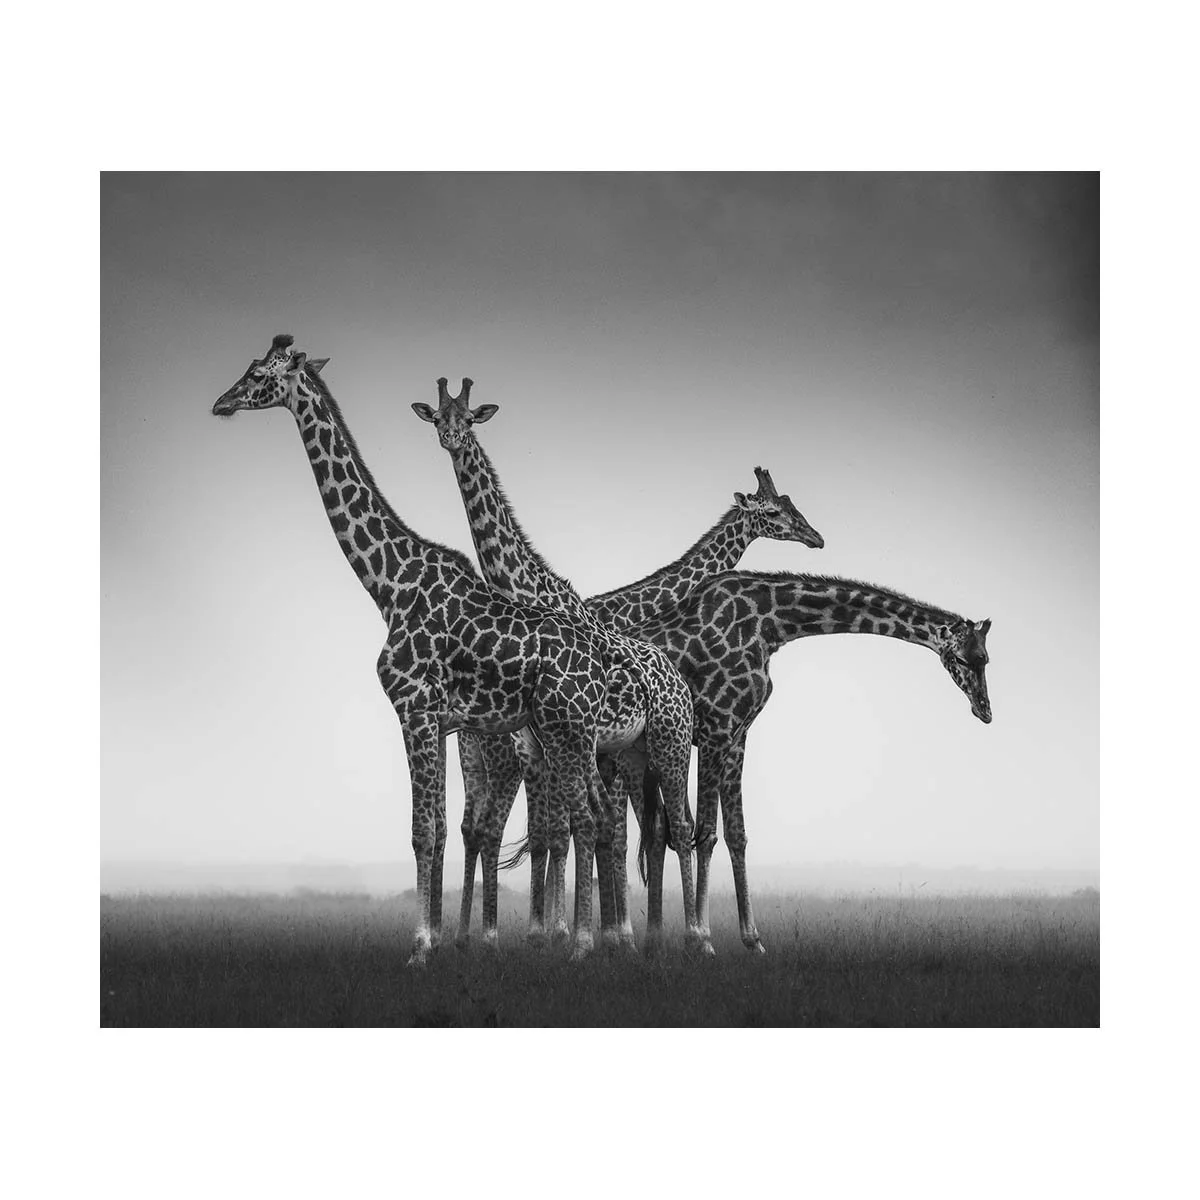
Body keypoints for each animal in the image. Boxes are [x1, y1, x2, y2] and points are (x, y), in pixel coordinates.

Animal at [211, 336, 614, 963]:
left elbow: (424, 831)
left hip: (565, 731)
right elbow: (444, 829)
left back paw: (581, 944)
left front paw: (422, 945)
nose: (221, 403)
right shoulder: (440, 719)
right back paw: (589, 939)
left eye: (257, 374)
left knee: (585, 819)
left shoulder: (414, 709)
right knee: (591, 816)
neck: (388, 585)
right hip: (565, 735)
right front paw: (444, 938)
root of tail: (597, 658)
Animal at [412, 378, 705, 952]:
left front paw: (574, 931)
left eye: (469, 418)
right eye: (437, 415)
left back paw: (683, 935)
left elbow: (570, 828)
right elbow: (557, 830)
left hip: (653, 747)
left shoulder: (560, 742)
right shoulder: (541, 744)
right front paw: (555, 930)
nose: (451, 440)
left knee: (666, 826)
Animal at [453, 464, 825, 949]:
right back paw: (509, 932)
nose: (815, 537)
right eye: (775, 511)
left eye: (791, 504)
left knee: (479, 829)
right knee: (509, 829)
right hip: (513, 756)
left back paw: (471, 932)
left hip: (480, 758)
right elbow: (616, 832)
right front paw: (612, 931)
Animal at [630, 570, 994, 950]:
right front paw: (702, 939)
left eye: (986, 658)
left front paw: (752, 940)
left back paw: (651, 937)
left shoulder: (738, 733)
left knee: (654, 830)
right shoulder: (718, 727)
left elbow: (735, 834)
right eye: (962, 659)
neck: (771, 625)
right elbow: (705, 834)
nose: (984, 710)